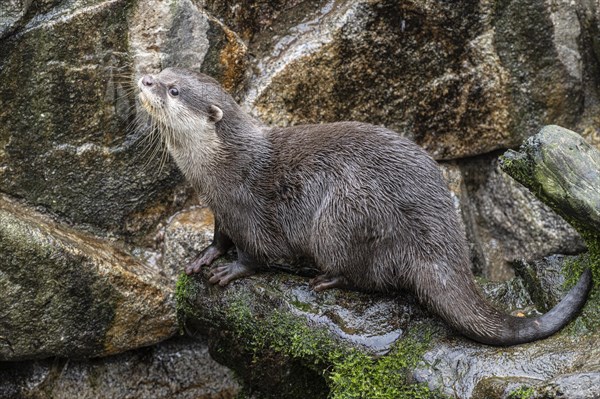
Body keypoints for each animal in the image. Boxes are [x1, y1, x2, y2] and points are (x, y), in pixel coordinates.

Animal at [138, 67, 592, 346]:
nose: (144, 79)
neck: (221, 165)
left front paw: (230, 271)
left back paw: (326, 279)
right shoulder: (220, 208)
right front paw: (202, 259)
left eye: (173, 91)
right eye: (164, 71)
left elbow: (256, 252)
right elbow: (218, 237)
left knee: (368, 275)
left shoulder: (247, 207)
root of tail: (440, 237)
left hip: (344, 215)